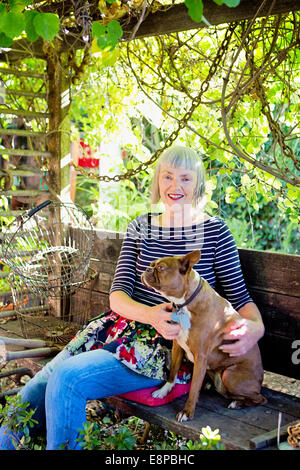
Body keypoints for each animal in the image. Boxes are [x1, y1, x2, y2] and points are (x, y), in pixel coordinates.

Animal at [141, 250, 268, 422]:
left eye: (161, 268)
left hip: (229, 375)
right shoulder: (177, 346)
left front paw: (187, 412)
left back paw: (237, 403)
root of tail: (259, 381)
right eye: (152, 264)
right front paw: (163, 391)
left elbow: (194, 388)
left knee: (260, 399)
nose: (147, 269)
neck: (185, 303)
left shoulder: (200, 356)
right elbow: (172, 372)